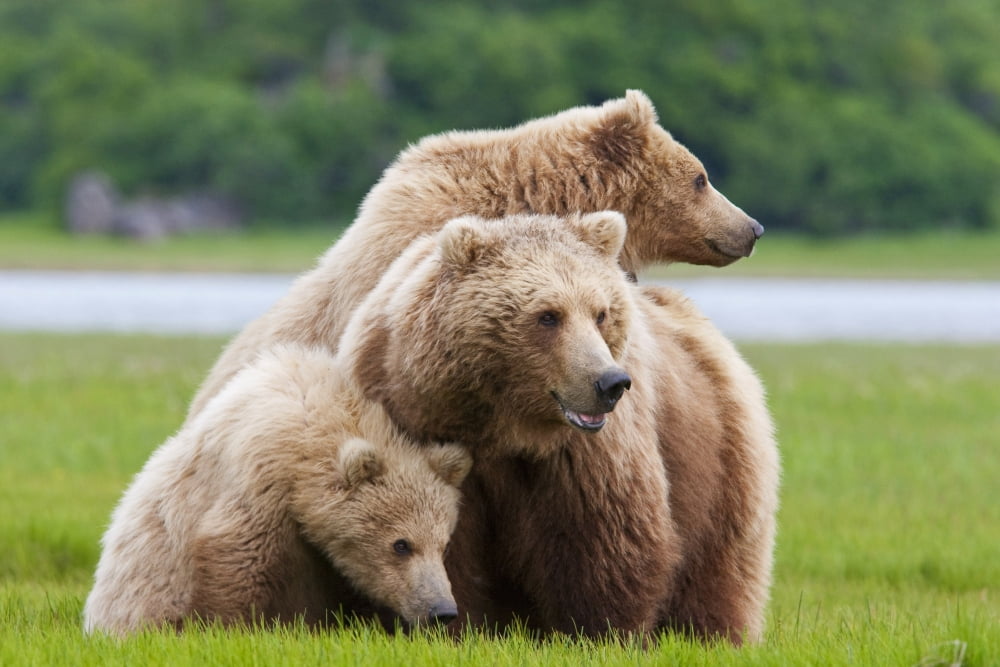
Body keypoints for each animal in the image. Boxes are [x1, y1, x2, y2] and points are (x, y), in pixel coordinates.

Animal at [83, 343, 473, 636]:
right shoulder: (259, 479)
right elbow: (235, 557)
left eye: (443, 544)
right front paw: (230, 628)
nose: (441, 610)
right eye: (401, 544)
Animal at [336, 211, 780, 644]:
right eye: (548, 315)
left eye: (600, 313)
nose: (610, 383)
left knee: (718, 576)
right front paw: (451, 627)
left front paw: (599, 632)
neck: (502, 425)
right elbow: (445, 544)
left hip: (717, 464)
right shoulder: (419, 425)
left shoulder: (583, 454)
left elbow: (606, 541)